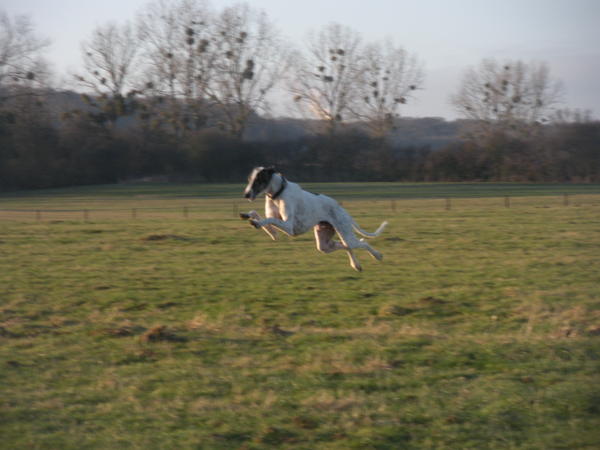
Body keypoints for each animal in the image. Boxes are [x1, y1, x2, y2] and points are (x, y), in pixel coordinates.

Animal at [241, 165, 386, 270]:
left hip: (345, 235)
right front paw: (250, 218)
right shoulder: (277, 227)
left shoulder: (288, 227)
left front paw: (256, 223)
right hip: (324, 245)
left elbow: (269, 220)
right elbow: (260, 218)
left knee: (362, 243)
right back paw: (356, 265)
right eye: (249, 180)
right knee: (346, 246)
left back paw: (377, 255)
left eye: (258, 180)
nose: (246, 195)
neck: (278, 192)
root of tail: (342, 209)